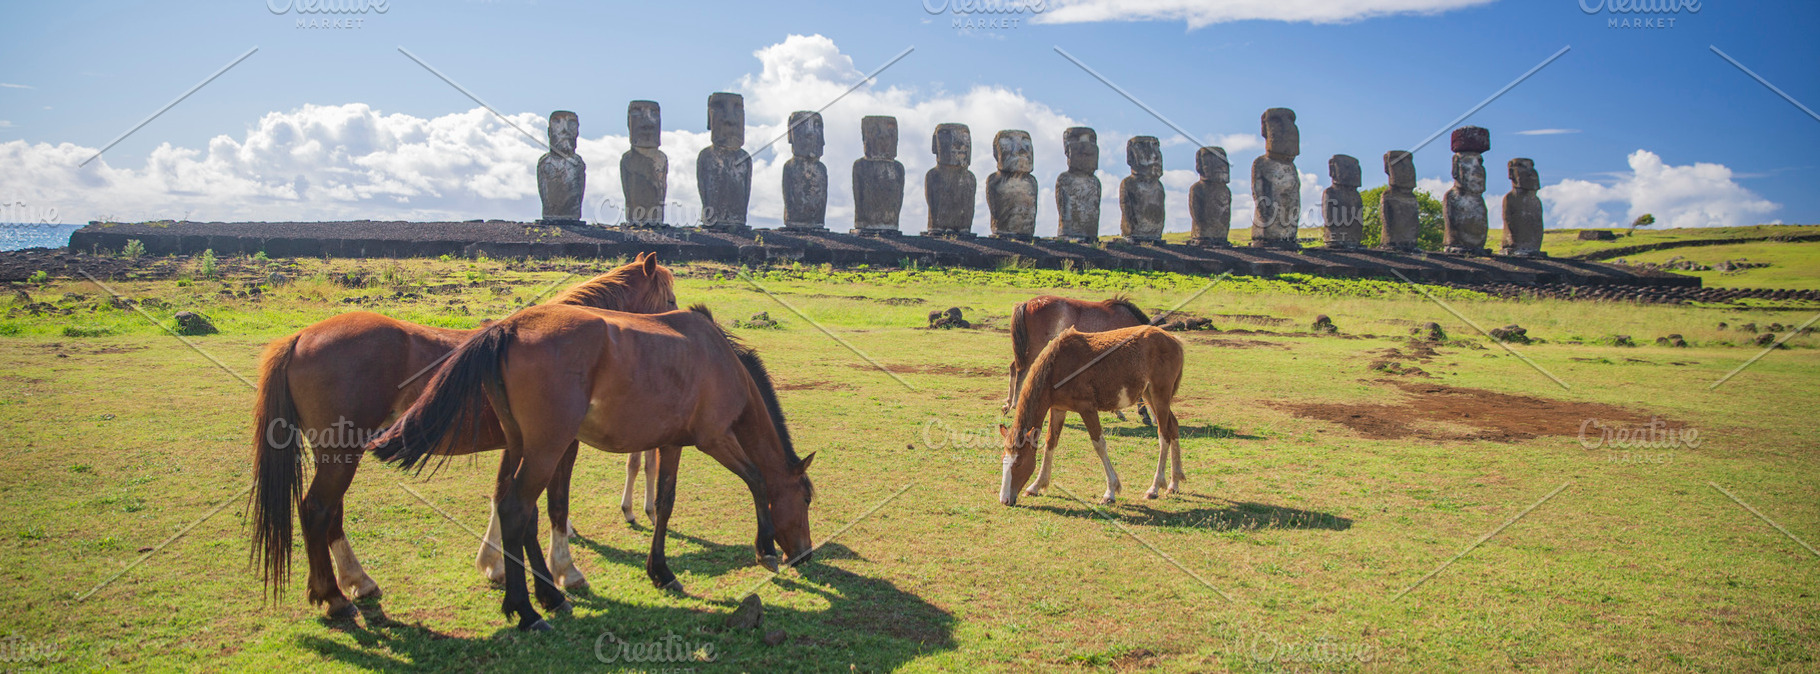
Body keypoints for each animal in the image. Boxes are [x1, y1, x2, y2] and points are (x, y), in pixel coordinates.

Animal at [250, 253, 675, 618]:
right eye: (669, 299)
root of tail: (300, 338)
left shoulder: (516, 447)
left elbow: (502, 498)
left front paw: (494, 566)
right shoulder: (558, 447)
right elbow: (555, 506)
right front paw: (564, 572)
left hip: (336, 455)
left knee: (330, 515)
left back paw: (357, 582)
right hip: (340, 455)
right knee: (317, 511)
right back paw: (334, 597)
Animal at [366, 304, 815, 631]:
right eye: (807, 499)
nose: (805, 554)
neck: (719, 358)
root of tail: (508, 328)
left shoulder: (672, 444)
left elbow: (665, 503)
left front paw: (661, 572)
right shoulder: (715, 439)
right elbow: (757, 481)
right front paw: (765, 549)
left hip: (526, 449)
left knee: (524, 516)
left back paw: (551, 596)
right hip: (547, 450)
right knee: (514, 510)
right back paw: (527, 612)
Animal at [998, 325, 1184, 507]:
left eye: (1019, 462)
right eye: (1003, 459)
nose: (1005, 500)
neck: (1057, 367)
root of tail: (1174, 340)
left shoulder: (1087, 408)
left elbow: (1099, 445)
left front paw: (1110, 491)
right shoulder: (1058, 409)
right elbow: (1050, 443)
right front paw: (1036, 485)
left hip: (1159, 395)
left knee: (1164, 436)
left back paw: (1155, 488)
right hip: (1149, 394)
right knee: (1173, 426)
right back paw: (1174, 483)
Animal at [1005, 295, 1155, 426]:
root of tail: (1027, 303)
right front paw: (1145, 415)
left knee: (1013, 367)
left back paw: (1007, 404)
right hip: (1036, 346)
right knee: (1022, 371)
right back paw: (1015, 404)